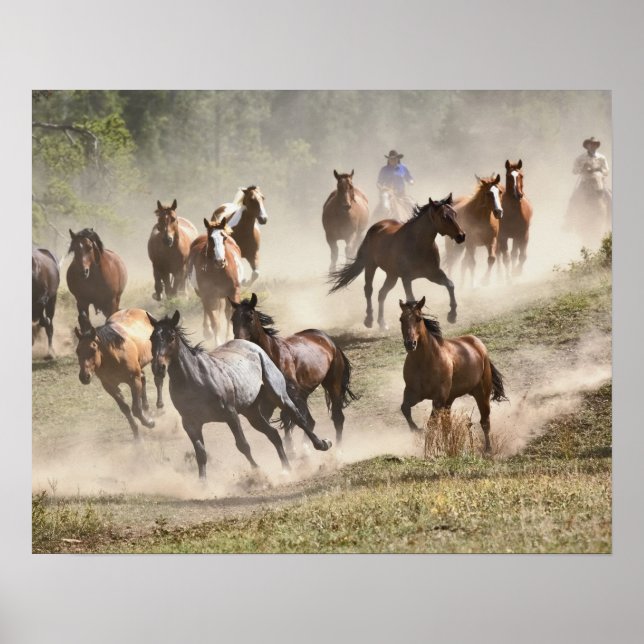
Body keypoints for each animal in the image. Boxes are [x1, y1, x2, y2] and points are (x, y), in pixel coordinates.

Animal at [74, 308, 164, 439]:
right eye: (77, 351)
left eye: (93, 349)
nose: (84, 377)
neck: (114, 356)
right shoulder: (110, 387)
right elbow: (125, 409)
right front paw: (137, 436)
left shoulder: (133, 380)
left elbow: (136, 409)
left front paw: (149, 423)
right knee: (144, 379)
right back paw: (147, 408)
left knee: (158, 379)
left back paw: (160, 405)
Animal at [148, 310, 332, 480]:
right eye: (152, 338)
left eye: (171, 337)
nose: (158, 367)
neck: (195, 378)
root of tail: (255, 347)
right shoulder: (190, 423)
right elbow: (200, 453)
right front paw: (203, 484)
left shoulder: (231, 414)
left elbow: (243, 445)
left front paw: (258, 472)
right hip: (251, 411)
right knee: (273, 434)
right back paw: (286, 469)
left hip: (278, 395)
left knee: (298, 418)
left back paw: (322, 444)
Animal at [230, 293, 358, 448]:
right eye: (232, 319)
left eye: (250, 317)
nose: (238, 341)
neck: (272, 355)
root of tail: (328, 340)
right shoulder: (268, 400)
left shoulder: (289, 394)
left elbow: (291, 418)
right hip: (304, 393)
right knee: (311, 420)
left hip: (332, 384)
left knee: (337, 417)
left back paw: (336, 450)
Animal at [329, 194, 466, 330]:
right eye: (444, 217)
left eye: (455, 214)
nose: (461, 236)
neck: (418, 244)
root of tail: (375, 227)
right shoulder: (406, 279)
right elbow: (411, 299)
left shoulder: (433, 274)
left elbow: (450, 285)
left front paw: (452, 316)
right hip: (370, 266)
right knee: (368, 289)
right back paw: (369, 320)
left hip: (392, 275)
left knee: (382, 293)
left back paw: (382, 323)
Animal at [398, 297, 508, 453]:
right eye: (401, 319)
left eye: (418, 318)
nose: (410, 344)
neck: (423, 362)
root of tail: (479, 346)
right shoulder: (413, 393)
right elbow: (405, 409)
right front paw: (417, 431)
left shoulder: (438, 399)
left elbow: (431, 424)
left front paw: (429, 451)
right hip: (450, 400)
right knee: (447, 426)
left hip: (481, 393)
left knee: (485, 421)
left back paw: (488, 450)